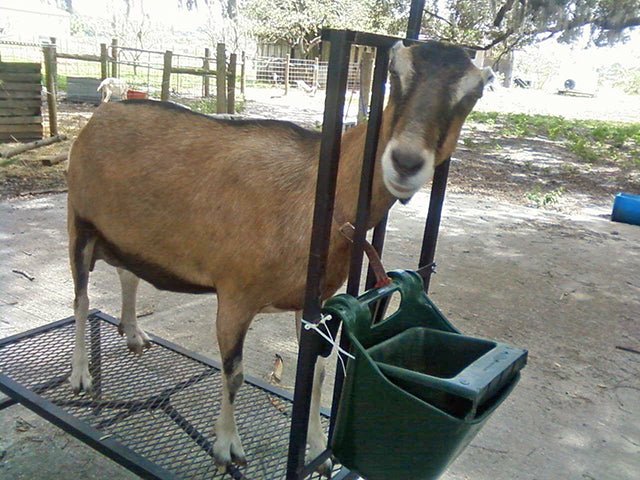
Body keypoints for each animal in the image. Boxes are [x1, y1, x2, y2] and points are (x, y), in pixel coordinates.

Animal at [66, 40, 496, 472]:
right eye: (395, 72)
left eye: (476, 90)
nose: (405, 162)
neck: (313, 197)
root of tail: (102, 113)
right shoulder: (235, 294)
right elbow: (234, 372)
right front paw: (227, 447)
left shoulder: (316, 303)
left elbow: (317, 373)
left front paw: (319, 449)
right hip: (79, 221)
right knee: (82, 300)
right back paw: (81, 375)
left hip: (126, 233)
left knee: (128, 273)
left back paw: (133, 333)